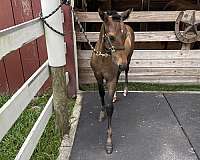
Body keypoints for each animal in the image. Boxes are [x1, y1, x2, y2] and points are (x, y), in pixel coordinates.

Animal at [90, 8, 134, 154]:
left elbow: (110, 107)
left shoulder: (111, 79)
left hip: (129, 58)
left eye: (125, 35)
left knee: (125, 72)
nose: (122, 64)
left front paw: (109, 143)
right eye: (111, 36)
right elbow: (101, 94)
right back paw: (114, 95)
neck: (103, 57)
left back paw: (125, 90)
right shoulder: (98, 76)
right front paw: (102, 113)